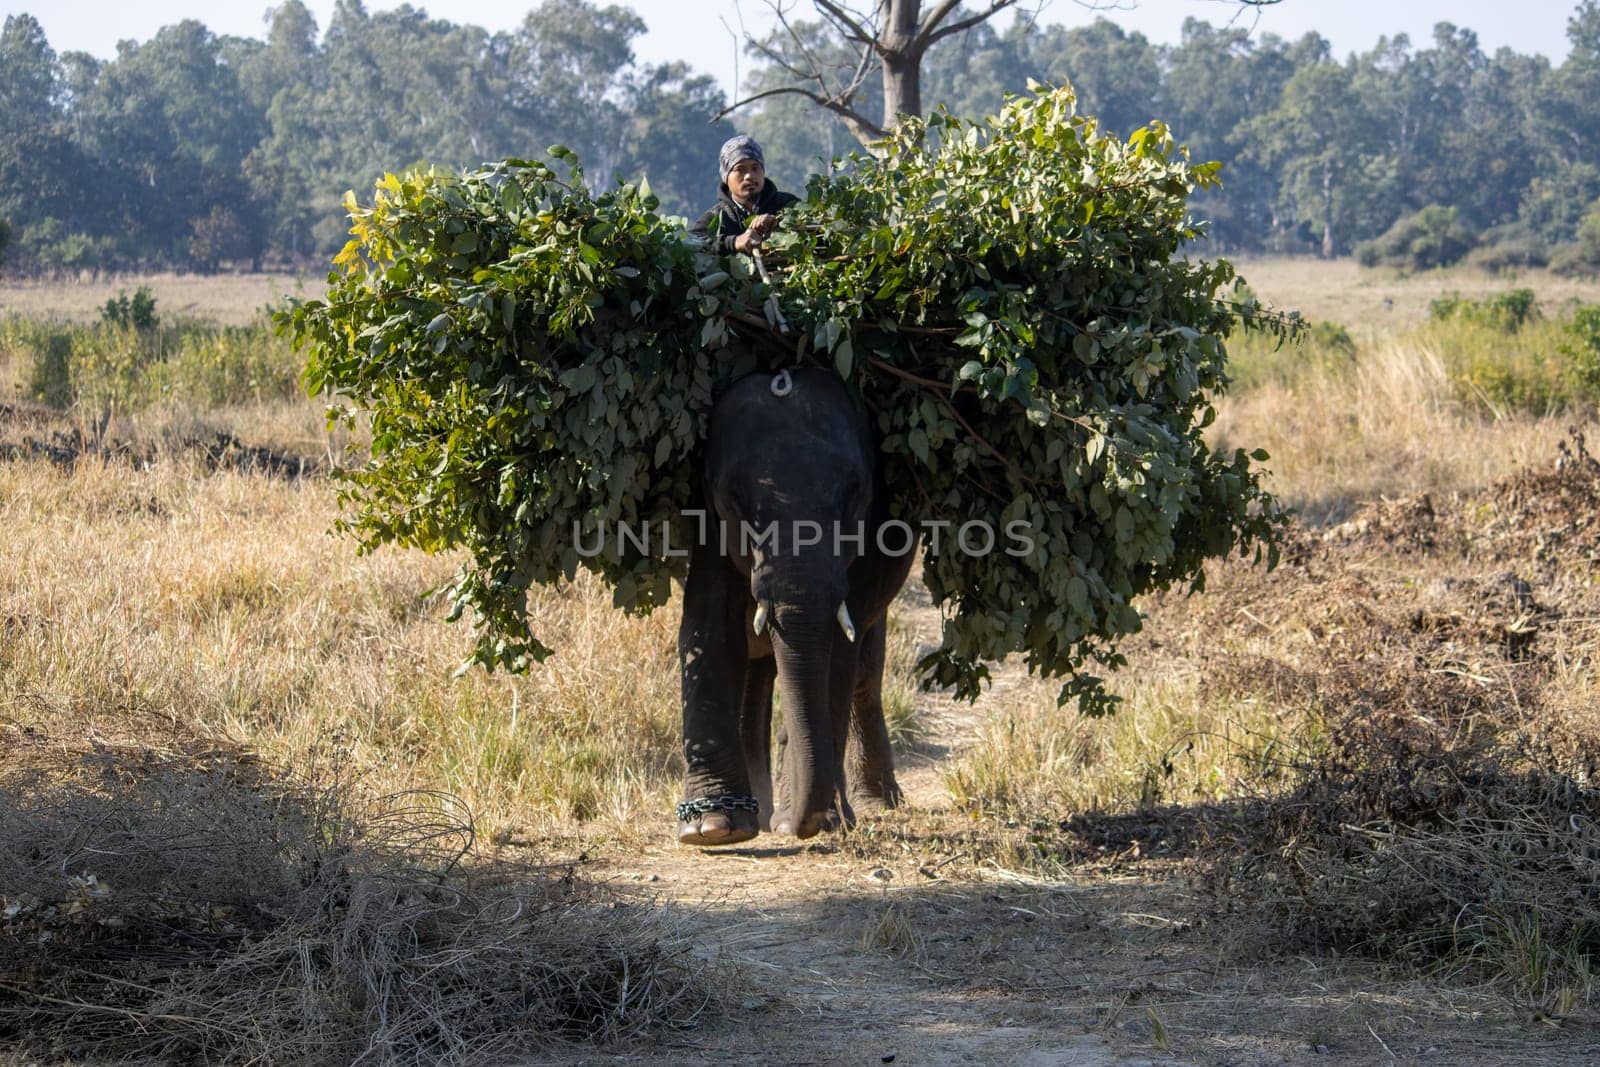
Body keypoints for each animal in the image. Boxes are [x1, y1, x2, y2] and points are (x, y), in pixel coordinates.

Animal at [672, 363, 915, 844]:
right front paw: (713, 829)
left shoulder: (870, 534)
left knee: (864, 668)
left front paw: (822, 821)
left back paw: (873, 802)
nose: (797, 827)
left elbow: (839, 649)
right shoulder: (709, 521)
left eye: (855, 495)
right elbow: (710, 629)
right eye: (736, 501)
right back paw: (760, 810)